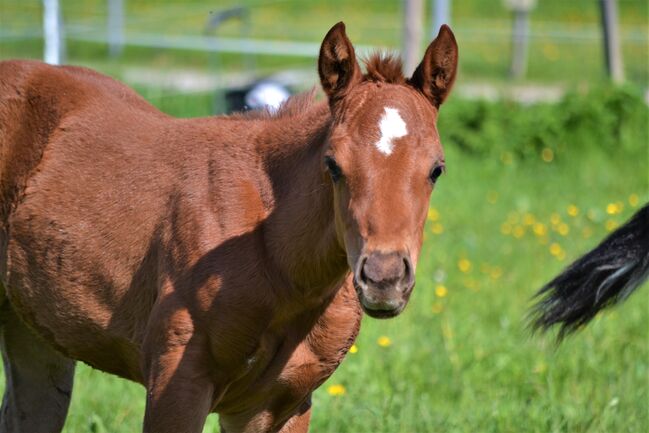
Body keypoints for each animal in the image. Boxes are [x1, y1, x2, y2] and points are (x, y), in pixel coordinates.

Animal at [0, 22, 456, 432]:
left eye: (436, 169)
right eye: (333, 165)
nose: (384, 278)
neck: (278, 265)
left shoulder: (278, 404)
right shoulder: (176, 386)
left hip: (35, 334)